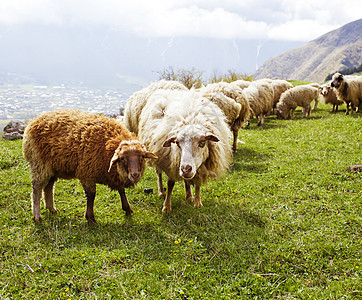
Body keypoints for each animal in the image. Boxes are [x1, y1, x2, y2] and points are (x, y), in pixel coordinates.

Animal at [22, 109, 156, 224]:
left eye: (142, 157)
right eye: (122, 158)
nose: (135, 175)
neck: (107, 147)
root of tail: (33, 122)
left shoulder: (115, 175)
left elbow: (121, 190)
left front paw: (127, 209)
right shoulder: (86, 173)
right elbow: (91, 196)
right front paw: (90, 217)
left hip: (53, 167)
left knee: (49, 187)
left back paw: (51, 209)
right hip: (40, 164)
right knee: (37, 189)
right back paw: (37, 215)